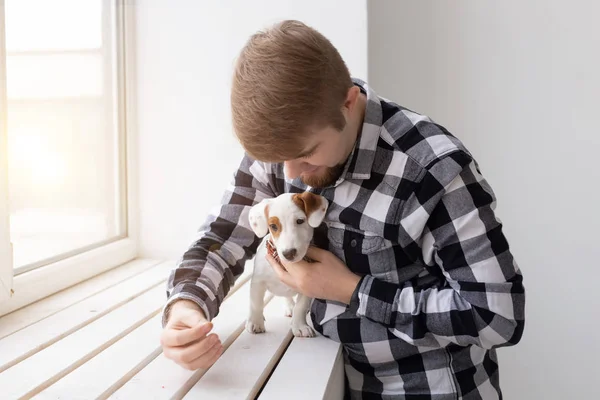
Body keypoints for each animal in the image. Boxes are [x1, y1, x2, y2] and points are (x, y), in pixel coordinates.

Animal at [246, 192, 328, 336]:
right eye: (273, 226)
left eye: (300, 221)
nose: (288, 254)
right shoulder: (257, 282)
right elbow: (256, 304)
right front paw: (256, 322)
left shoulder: (308, 286)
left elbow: (300, 307)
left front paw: (300, 326)